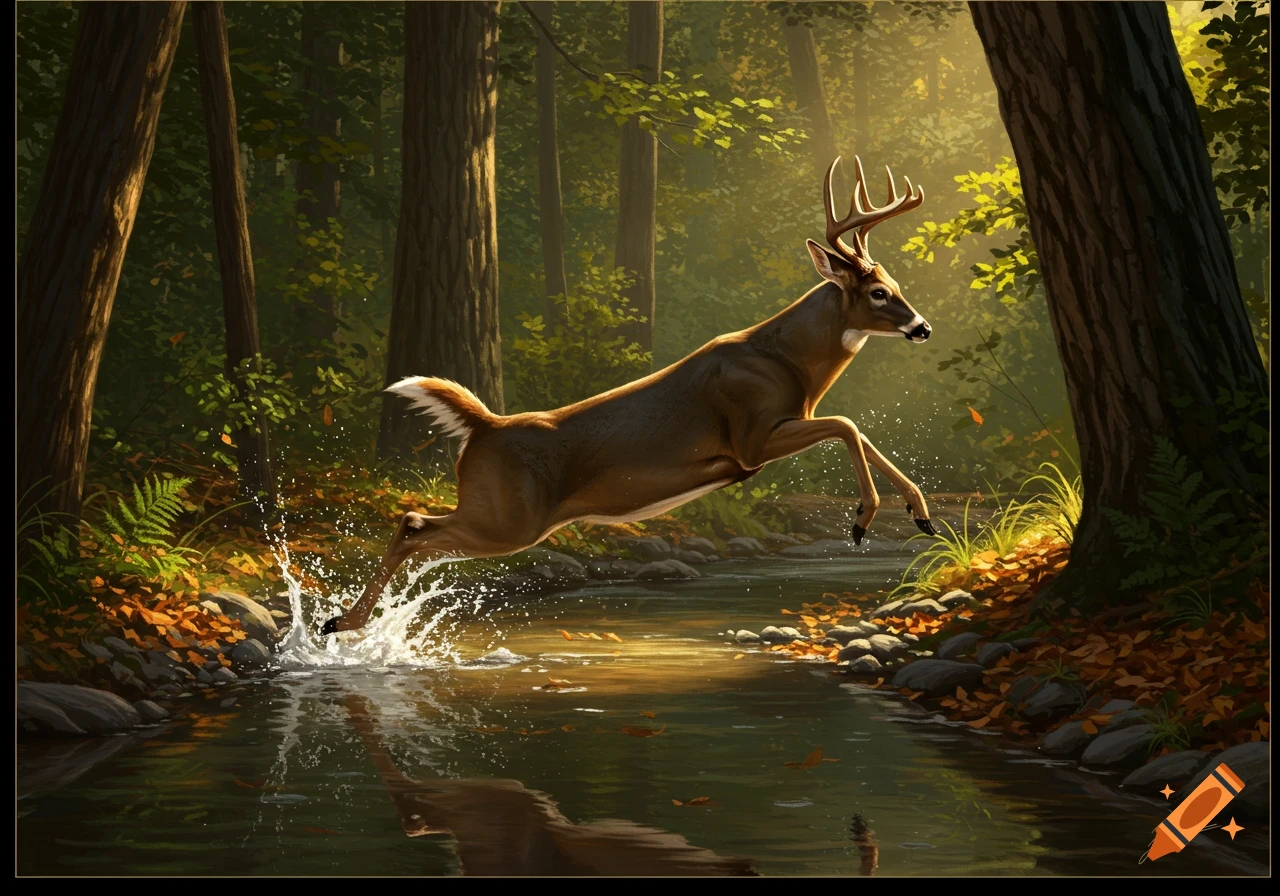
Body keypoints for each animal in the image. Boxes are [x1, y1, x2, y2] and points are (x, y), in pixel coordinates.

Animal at [322, 157, 937, 636]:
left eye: (899, 285)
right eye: (878, 292)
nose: (923, 328)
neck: (788, 365)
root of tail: (484, 426)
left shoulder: (776, 430)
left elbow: (853, 427)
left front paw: (921, 514)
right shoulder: (751, 437)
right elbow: (847, 423)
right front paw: (862, 520)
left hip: (498, 514)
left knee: (421, 533)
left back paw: (350, 623)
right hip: (508, 517)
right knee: (413, 523)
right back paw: (341, 623)